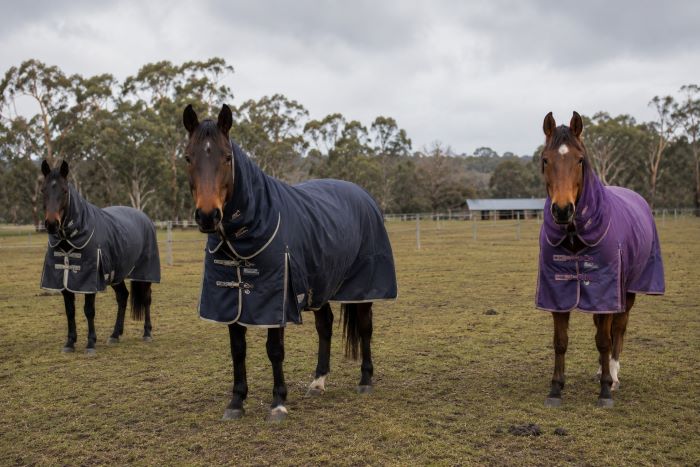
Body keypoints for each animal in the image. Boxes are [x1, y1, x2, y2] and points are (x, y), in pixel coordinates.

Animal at [40, 160, 161, 354]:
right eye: (43, 190)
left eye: (64, 191)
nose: (51, 224)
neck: (71, 239)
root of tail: (144, 217)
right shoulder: (65, 280)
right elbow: (70, 310)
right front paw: (70, 342)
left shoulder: (90, 281)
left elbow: (89, 310)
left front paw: (90, 343)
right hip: (117, 274)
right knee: (123, 297)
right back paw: (115, 334)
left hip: (145, 273)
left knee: (146, 298)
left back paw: (147, 333)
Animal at [182, 104, 397, 421]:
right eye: (188, 157)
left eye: (227, 157)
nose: (208, 216)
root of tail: (364, 196)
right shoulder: (232, 300)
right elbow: (237, 349)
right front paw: (236, 402)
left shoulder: (276, 299)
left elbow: (274, 349)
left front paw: (278, 402)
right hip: (320, 286)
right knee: (325, 325)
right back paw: (318, 382)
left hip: (363, 288)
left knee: (365, 326)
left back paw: (366, 380)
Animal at [536, 112, 665, 407]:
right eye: (546, 159)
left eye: (580, 159)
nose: (562, 210)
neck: (575, 236)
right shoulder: (558, 291)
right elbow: (560, 341)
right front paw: (556, 388)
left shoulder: (607, 291)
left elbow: (604, 340)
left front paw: (605, 389)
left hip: (626, 290)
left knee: (618, 329)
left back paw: (613, 374)